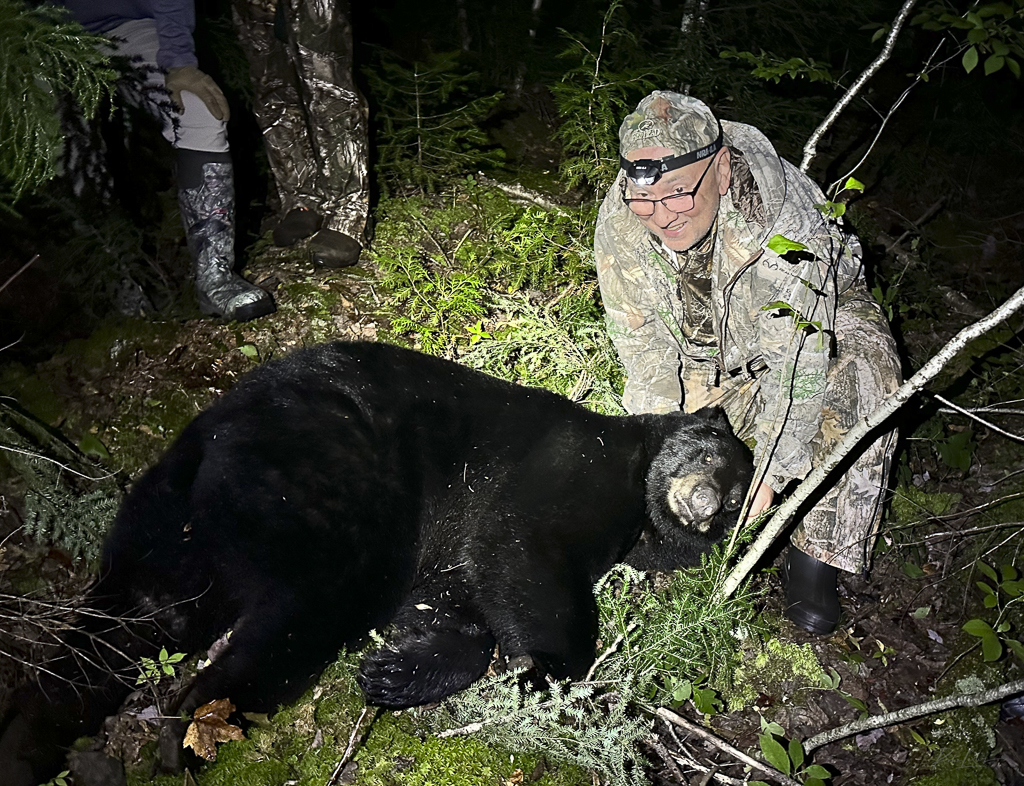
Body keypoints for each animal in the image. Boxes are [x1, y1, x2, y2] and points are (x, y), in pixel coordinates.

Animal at [0, 341, 752, 784]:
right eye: (712, 451)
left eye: (738, 496)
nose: (709, 501)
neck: (638, 507)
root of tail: (204, 434)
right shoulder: (568, 470)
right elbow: (521, 549)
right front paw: (553, 678)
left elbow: (458, 600)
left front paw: (395, 669)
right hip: (319, 498)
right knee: (293, 616)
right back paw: (191, 730)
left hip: (166, 534)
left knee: (128, 623)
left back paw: (41, 738)